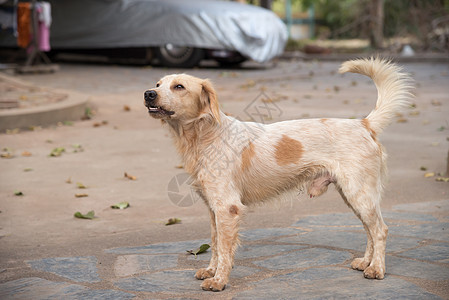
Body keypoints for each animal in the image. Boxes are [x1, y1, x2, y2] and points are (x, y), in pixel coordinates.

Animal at [144, 58, 412, 290]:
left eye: (179, 86)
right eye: (157, 84)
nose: (148, 94)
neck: (205, 136)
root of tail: (363, 124)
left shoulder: (227, 208)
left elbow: (225, 249)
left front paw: (219, 281)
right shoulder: (213, 209)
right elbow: (216, 244)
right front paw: (211, 270)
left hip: (359, 194)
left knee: (380, 230)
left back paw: (377, 269)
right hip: (354, 197)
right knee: (369, 230)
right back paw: (366, 262)